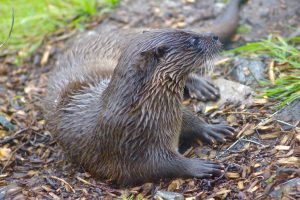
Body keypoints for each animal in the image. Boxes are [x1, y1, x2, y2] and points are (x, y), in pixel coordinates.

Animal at [45, 28, 234, 186]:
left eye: (191, 31)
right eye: (194, 40)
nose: (214, 36)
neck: (143, 111)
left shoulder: (174, 113)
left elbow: (187, 117)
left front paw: (210, 128)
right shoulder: (127, 144)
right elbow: (156, 165)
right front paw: (198, 166)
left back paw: (202, 87)